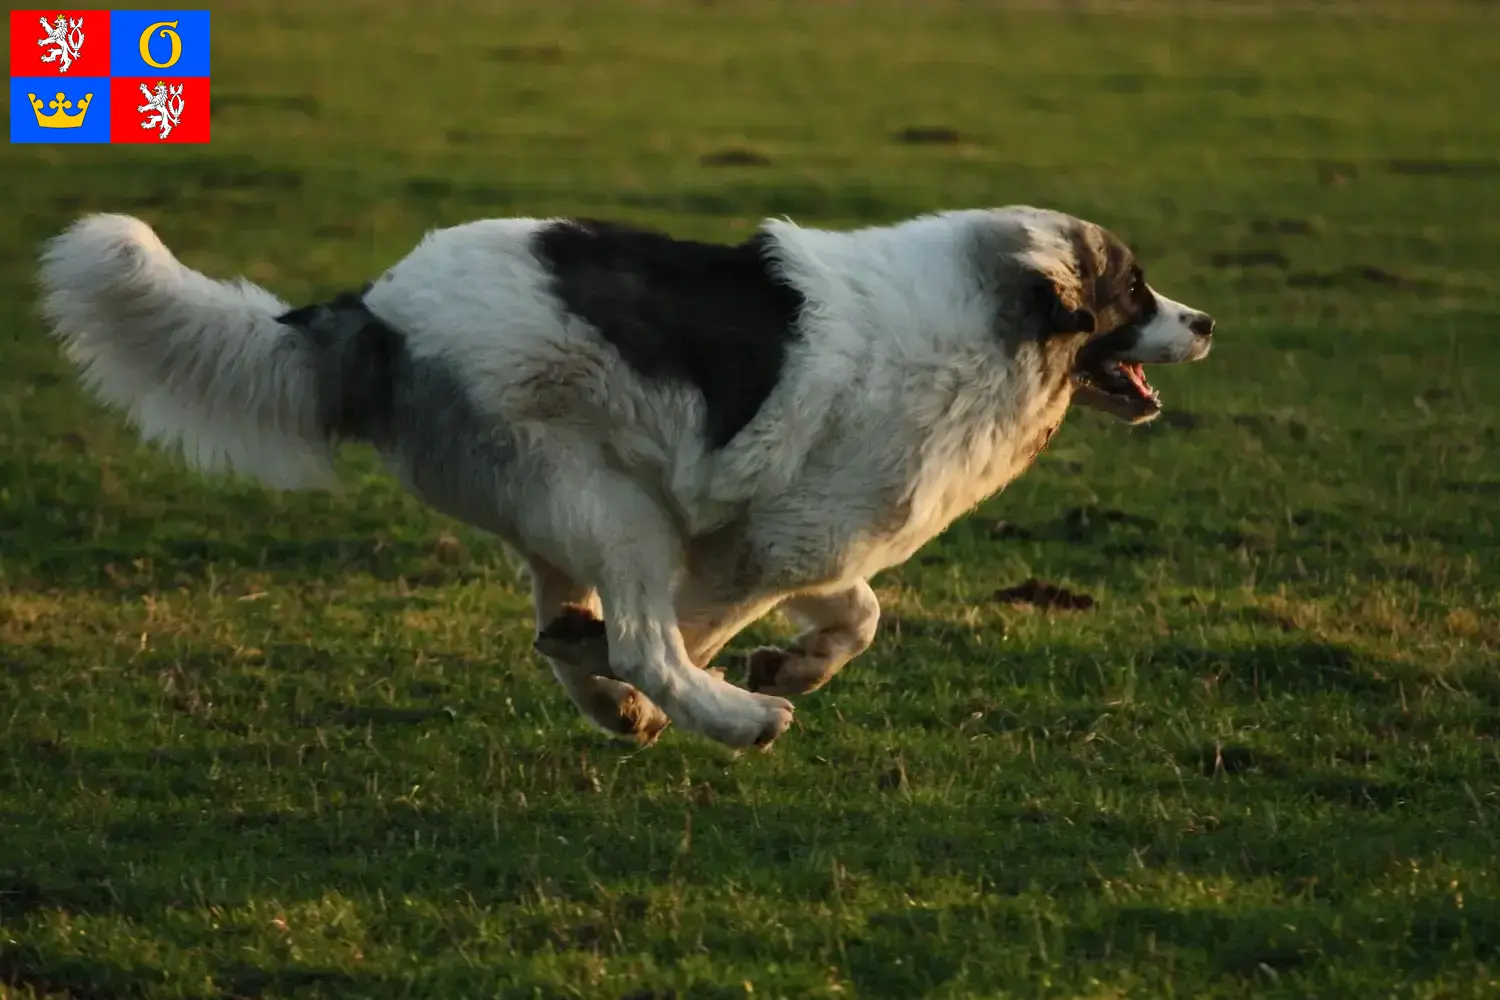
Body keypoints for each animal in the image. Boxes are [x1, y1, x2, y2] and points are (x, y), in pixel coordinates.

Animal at [35, 209, 1212, 749]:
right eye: (1136, 290)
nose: (1203, 321)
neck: (994, 323)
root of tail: (375, 307)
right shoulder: (764, 542)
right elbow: (704, 628)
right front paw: (737, 684)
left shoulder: (801, 531)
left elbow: (858, 612)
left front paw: (795, 663)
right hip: (619, 506)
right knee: (638, 633)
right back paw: (728, 719)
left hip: (568, 509)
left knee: (559, 619)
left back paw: (616, 690)